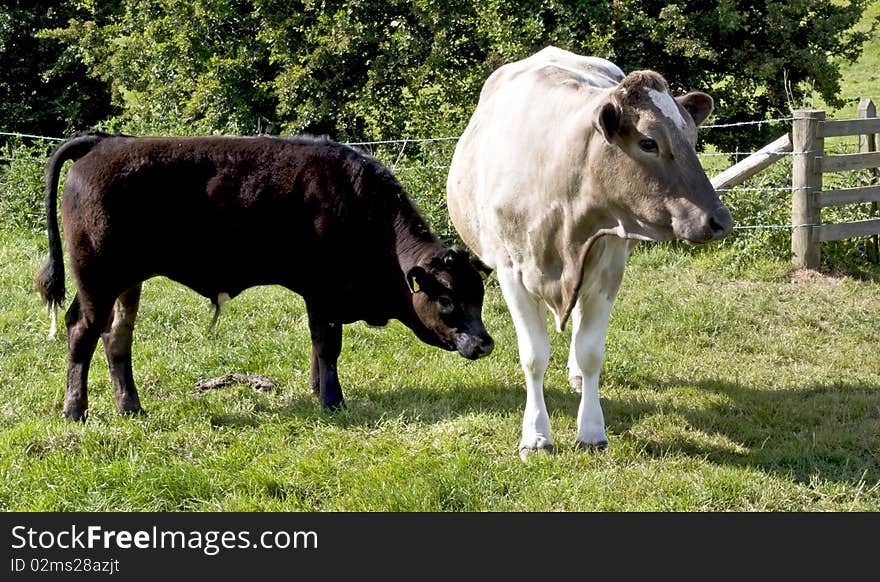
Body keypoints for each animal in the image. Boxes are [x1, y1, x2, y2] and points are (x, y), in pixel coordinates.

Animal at [444, 46, 732, 460]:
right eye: (648, 142)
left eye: (692, 139)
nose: (720, 220)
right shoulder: (512, 274)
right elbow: (533, 356)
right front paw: (536, 435)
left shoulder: (608, 268)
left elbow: (591, 351)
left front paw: (592, 429)